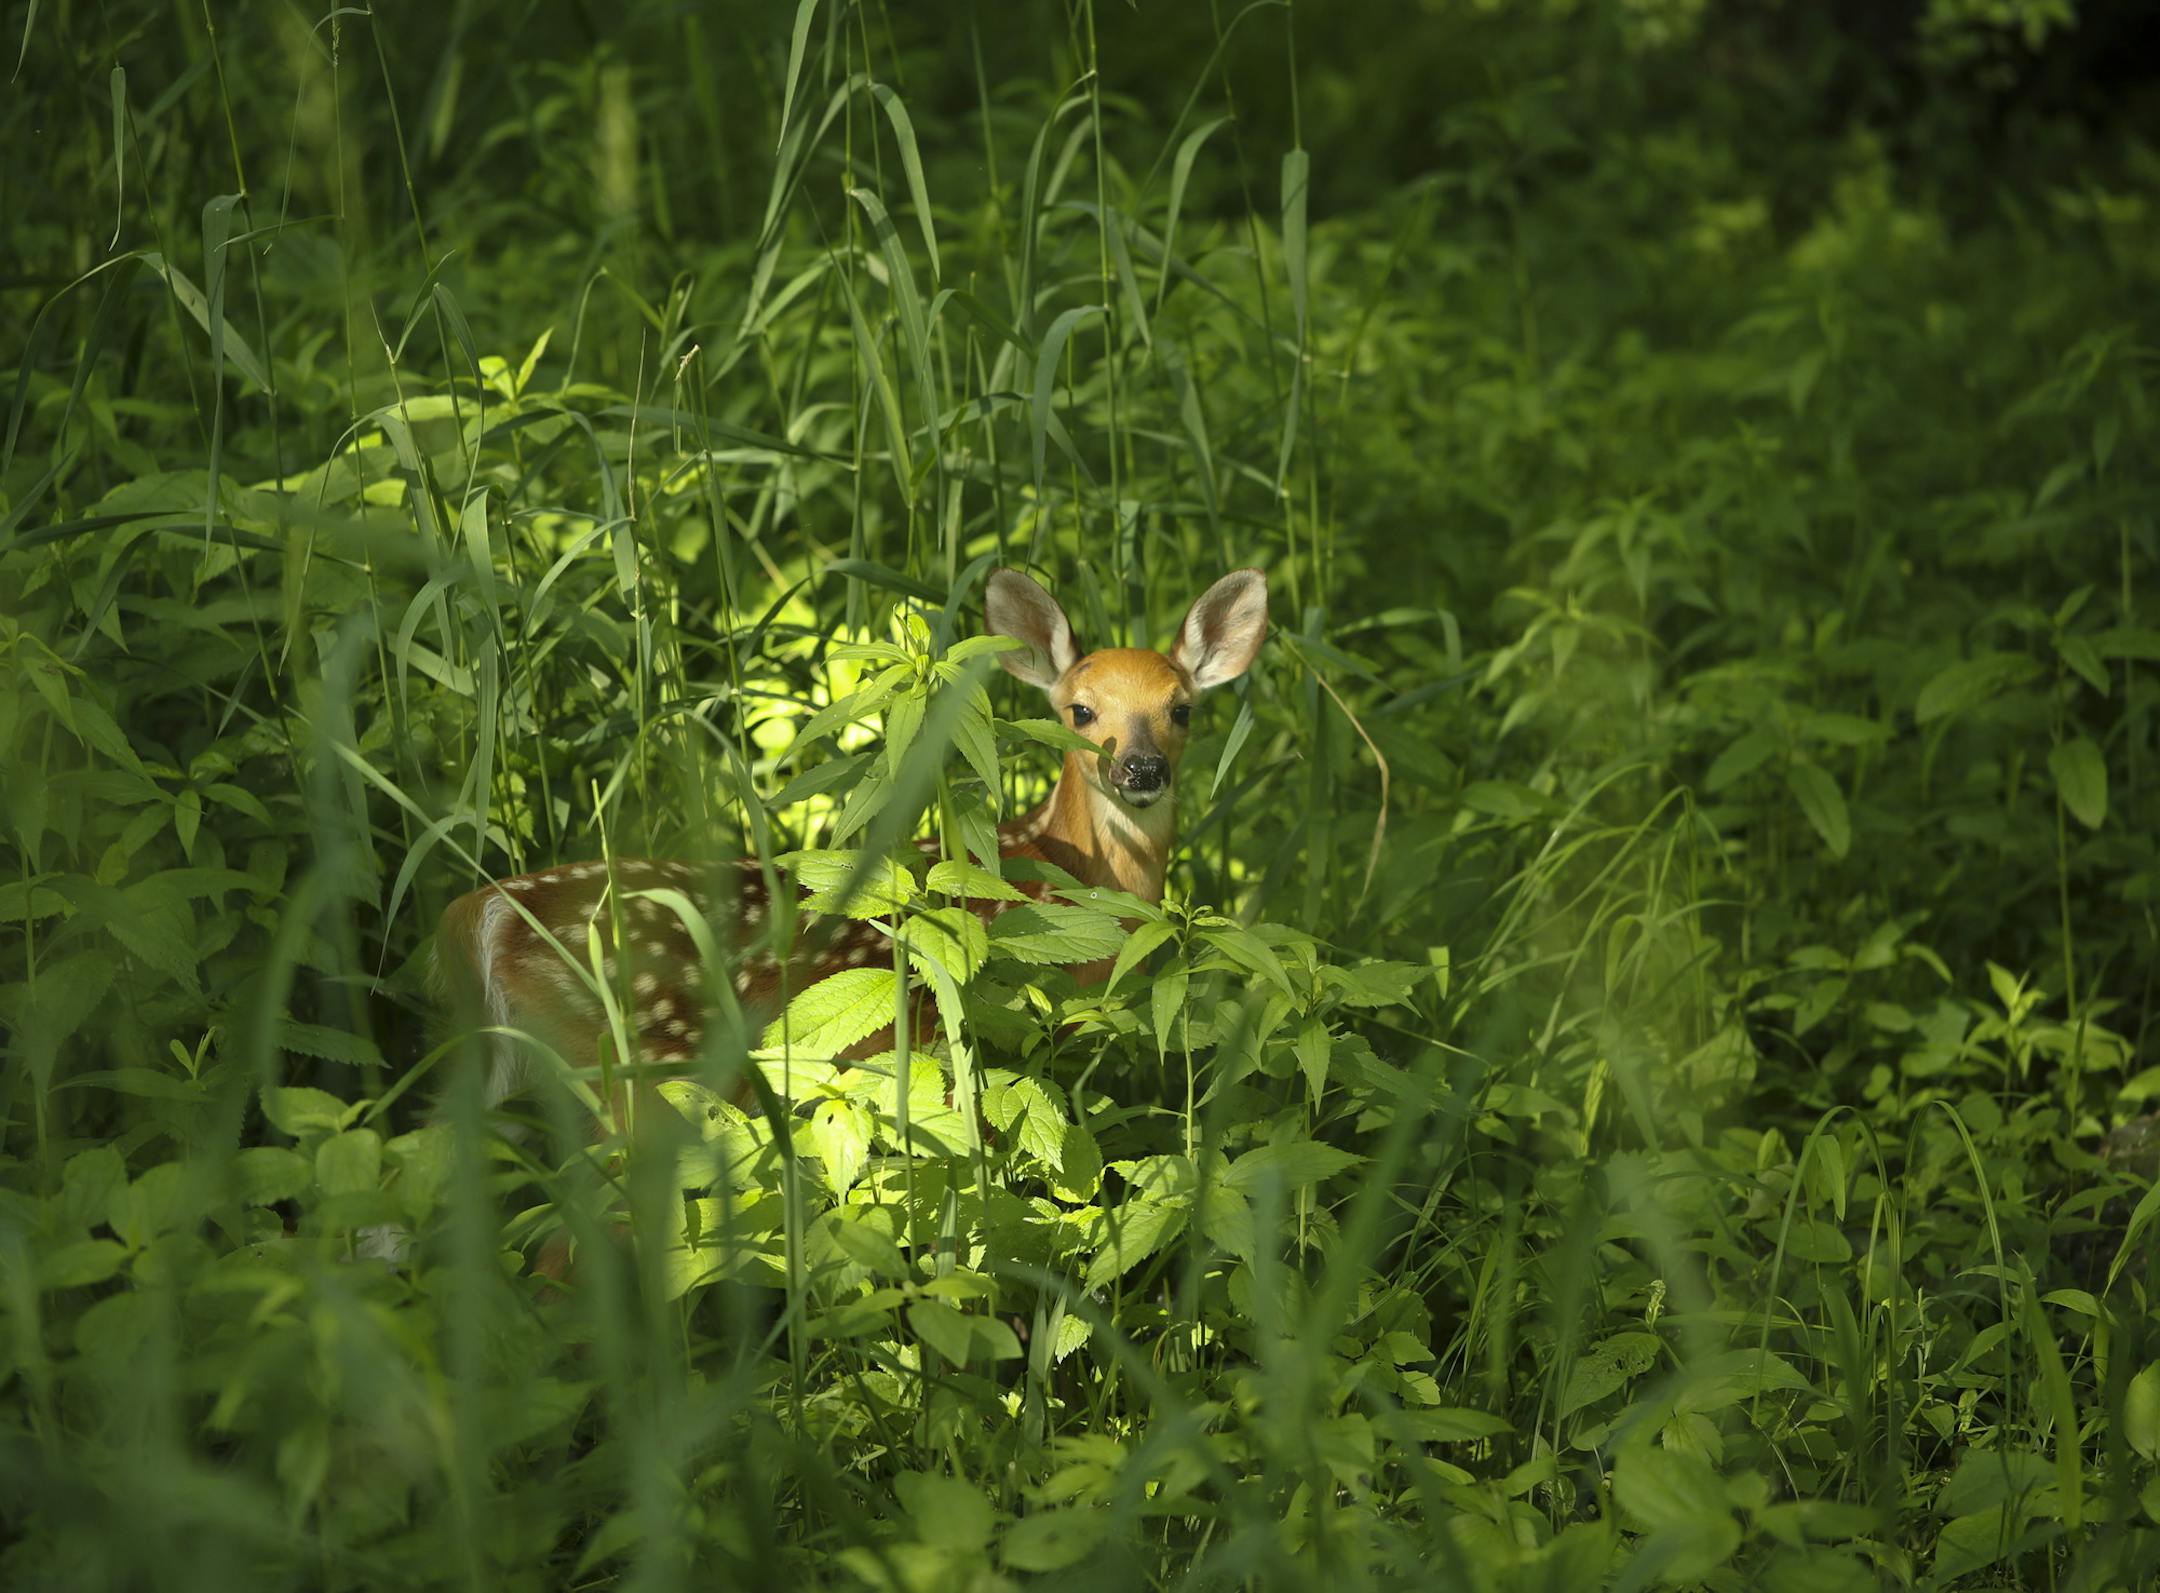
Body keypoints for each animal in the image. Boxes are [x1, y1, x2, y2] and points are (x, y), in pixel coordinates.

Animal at [422, 566, 1268, 1215]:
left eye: (1181, 708)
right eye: (1080, 710)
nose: (1140, 770)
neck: (1048, 869)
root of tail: (482, 912)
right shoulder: (957, 1052)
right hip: (643, 1071)